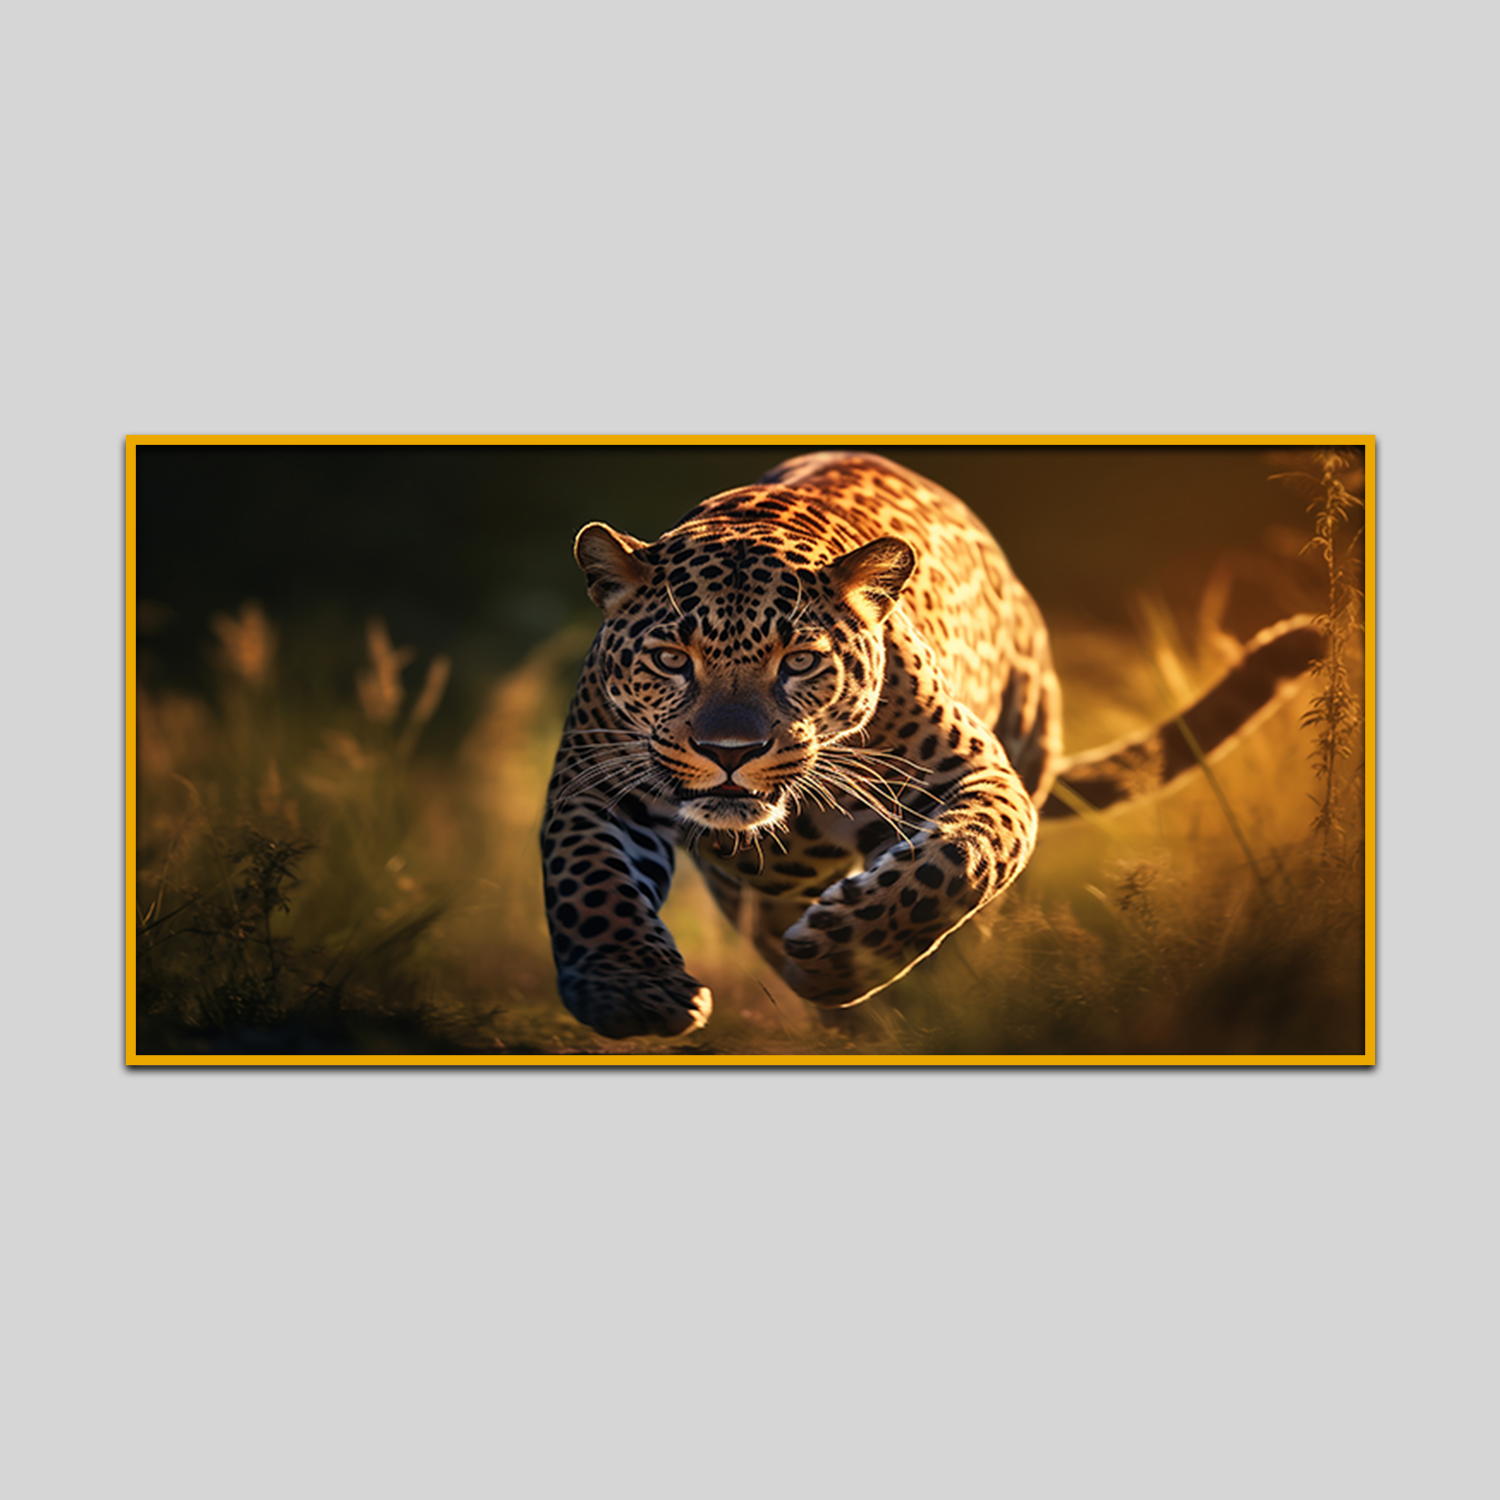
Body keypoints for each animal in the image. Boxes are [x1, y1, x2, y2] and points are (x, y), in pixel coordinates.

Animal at [540, 451, 1323, 1040]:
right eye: (672, 659)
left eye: (800, 661)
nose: (730, 751)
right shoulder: (594, 784)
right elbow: (590, 883)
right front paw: (627, 990)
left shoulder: (976, 775)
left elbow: (956, 860)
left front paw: (844, 955)